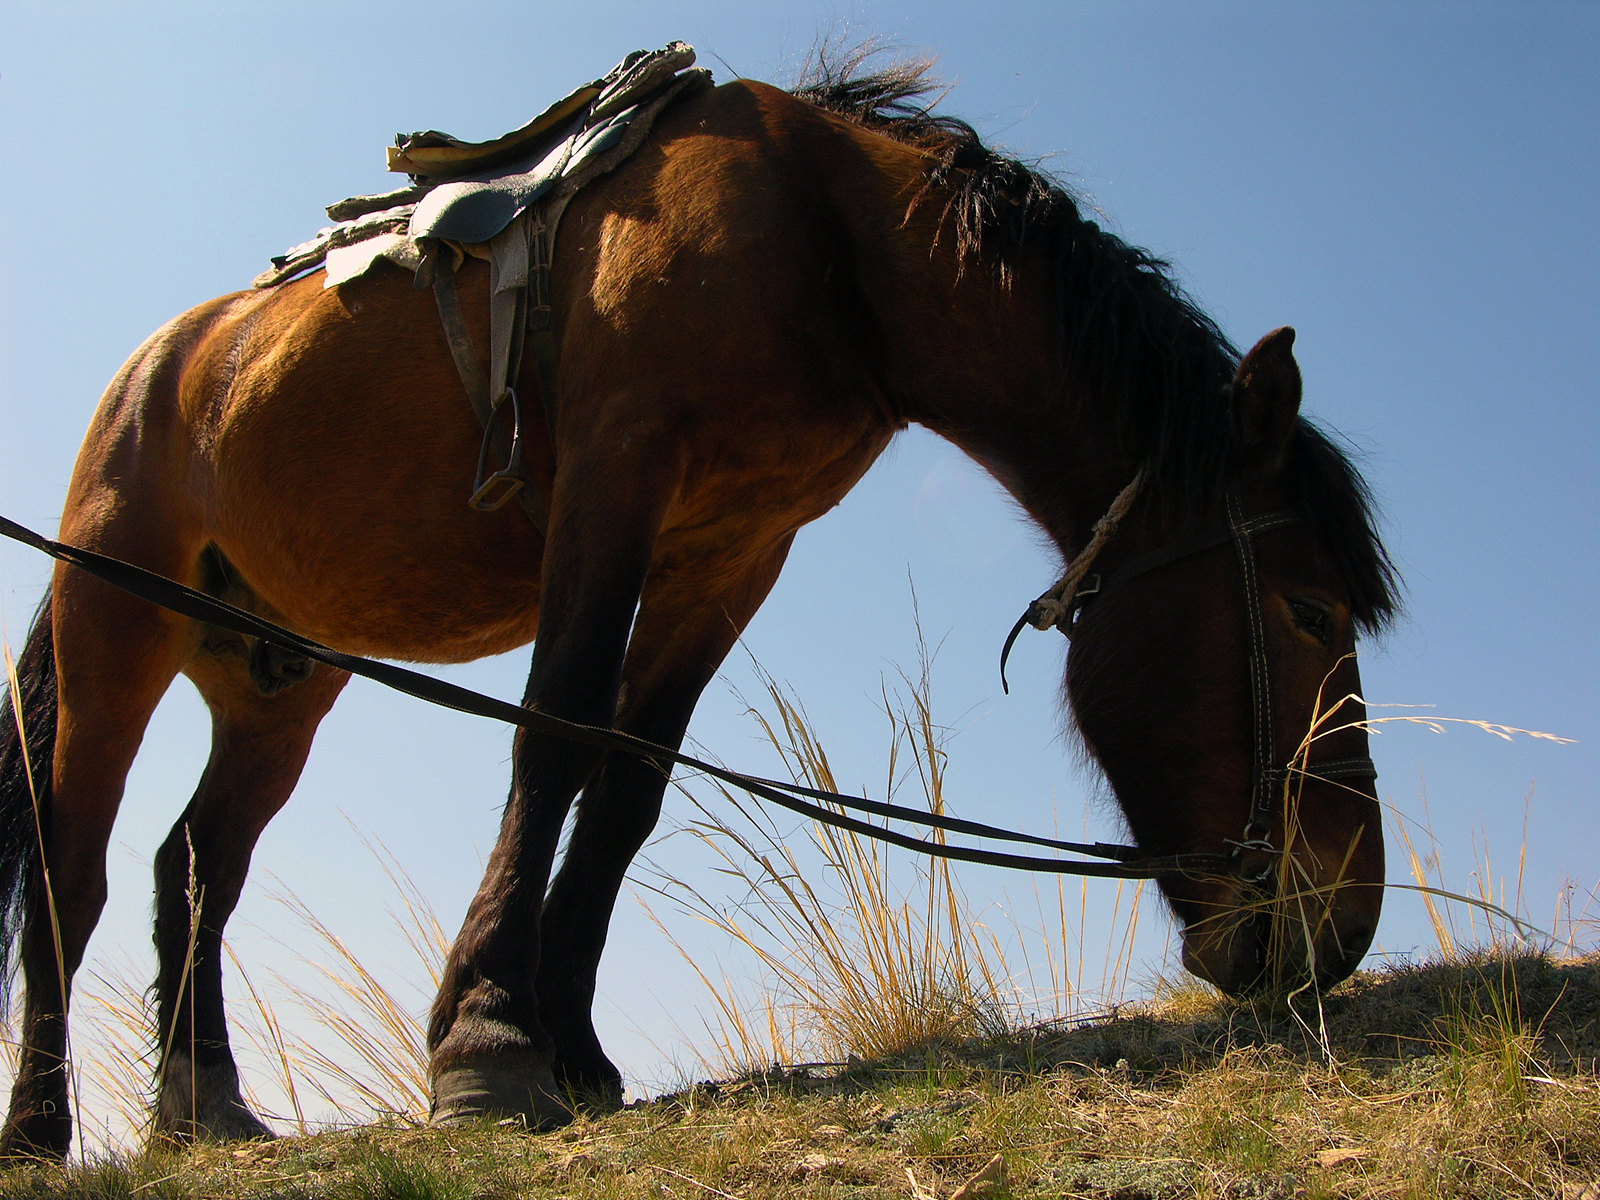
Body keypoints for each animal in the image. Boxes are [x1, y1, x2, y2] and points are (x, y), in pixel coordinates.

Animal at [0, 56, 1398, 1157]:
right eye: (1311, 611)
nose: (1342, 920)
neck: (825, 238)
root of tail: (167, 361)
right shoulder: (614, 478)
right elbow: (557, 734)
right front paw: (489, 1041)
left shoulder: (727, 555)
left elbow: (627, 785)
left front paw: (571, 1044)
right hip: (114, 626)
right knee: (72, 863)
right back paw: (40, 1122)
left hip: (279, 681)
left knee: (196, 863)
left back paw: (203, 1105)